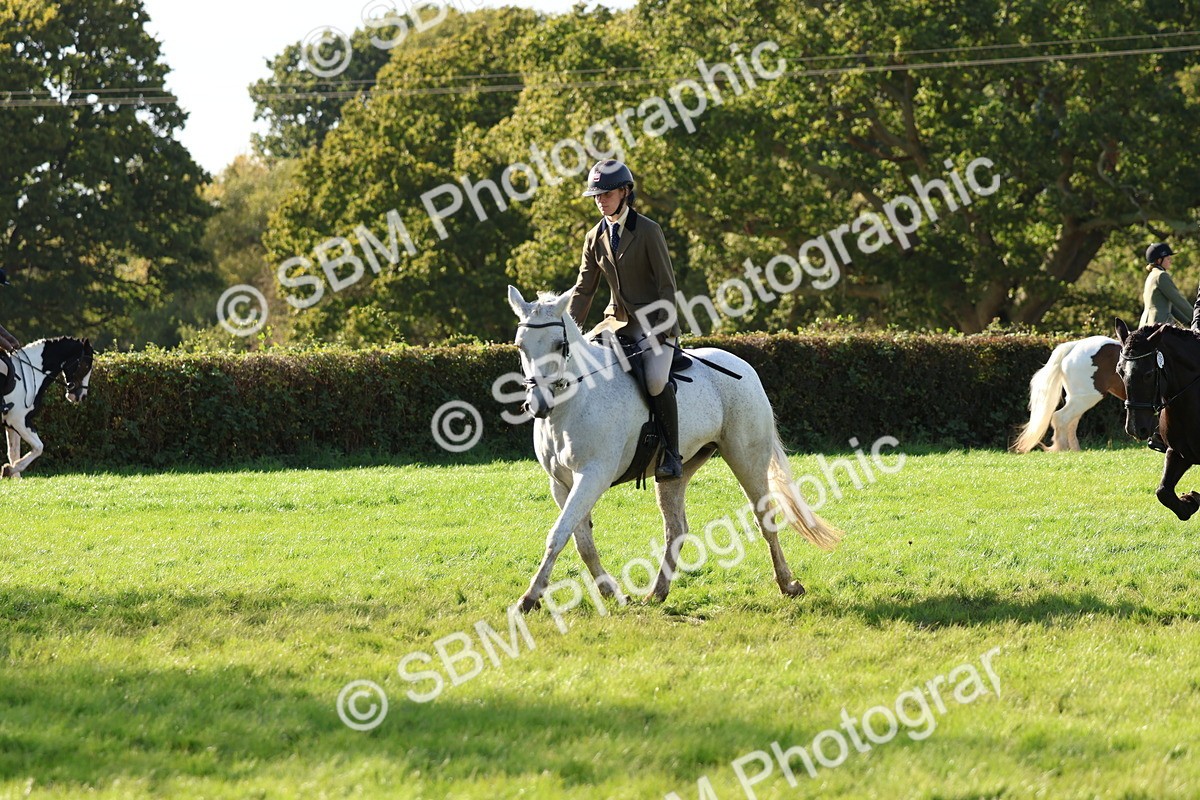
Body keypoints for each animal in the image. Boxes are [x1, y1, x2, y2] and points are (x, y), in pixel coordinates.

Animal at [1, 337, 94, 479]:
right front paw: (8, 470)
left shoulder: (11, 425)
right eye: (86, 365)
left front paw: (15, 477)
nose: (82, 396)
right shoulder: (19, 421)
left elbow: (13, 452)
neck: (30, 373)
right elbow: (39, 447)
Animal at [507, 287, 842, 612]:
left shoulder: (592, 476)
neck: (574, 401)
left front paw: (530, 597)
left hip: (746, 459)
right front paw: (612, 593)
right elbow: (581, 540)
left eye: (558, 344)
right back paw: (657, 593)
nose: (538, 405)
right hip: (675, 472)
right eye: (521, 346)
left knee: (765, 519)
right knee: (676, 528)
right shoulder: (561, 483)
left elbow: (559, 534)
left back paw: (788, 584)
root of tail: (744, 367)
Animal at [1114, 319, 1200, 520]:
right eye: (1120, 371)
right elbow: (1163, 492)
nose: (1135, 429)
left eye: (1148, 374)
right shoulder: (1179, 453)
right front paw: (1190, 501)